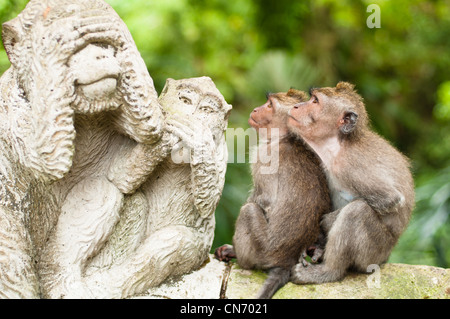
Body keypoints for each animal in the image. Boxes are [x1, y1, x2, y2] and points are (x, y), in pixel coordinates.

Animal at [214, 90, 330, 300]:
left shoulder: (263, 156)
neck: (285, 137)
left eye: (269, 105)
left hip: (263, 250)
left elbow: (264, 199)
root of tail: (286, 260)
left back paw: (240, 257)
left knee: (249, 211)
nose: (255, 109)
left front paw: (231, 249)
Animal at [288, 82, 414, 284]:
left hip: (374, 254)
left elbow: (390, 199)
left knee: (356, 211)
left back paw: (328, 271)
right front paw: (318, 244)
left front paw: (326, 223)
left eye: (315, 101)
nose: (297, 106)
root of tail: (386, 257)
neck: (337, 145)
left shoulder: (350, 165)